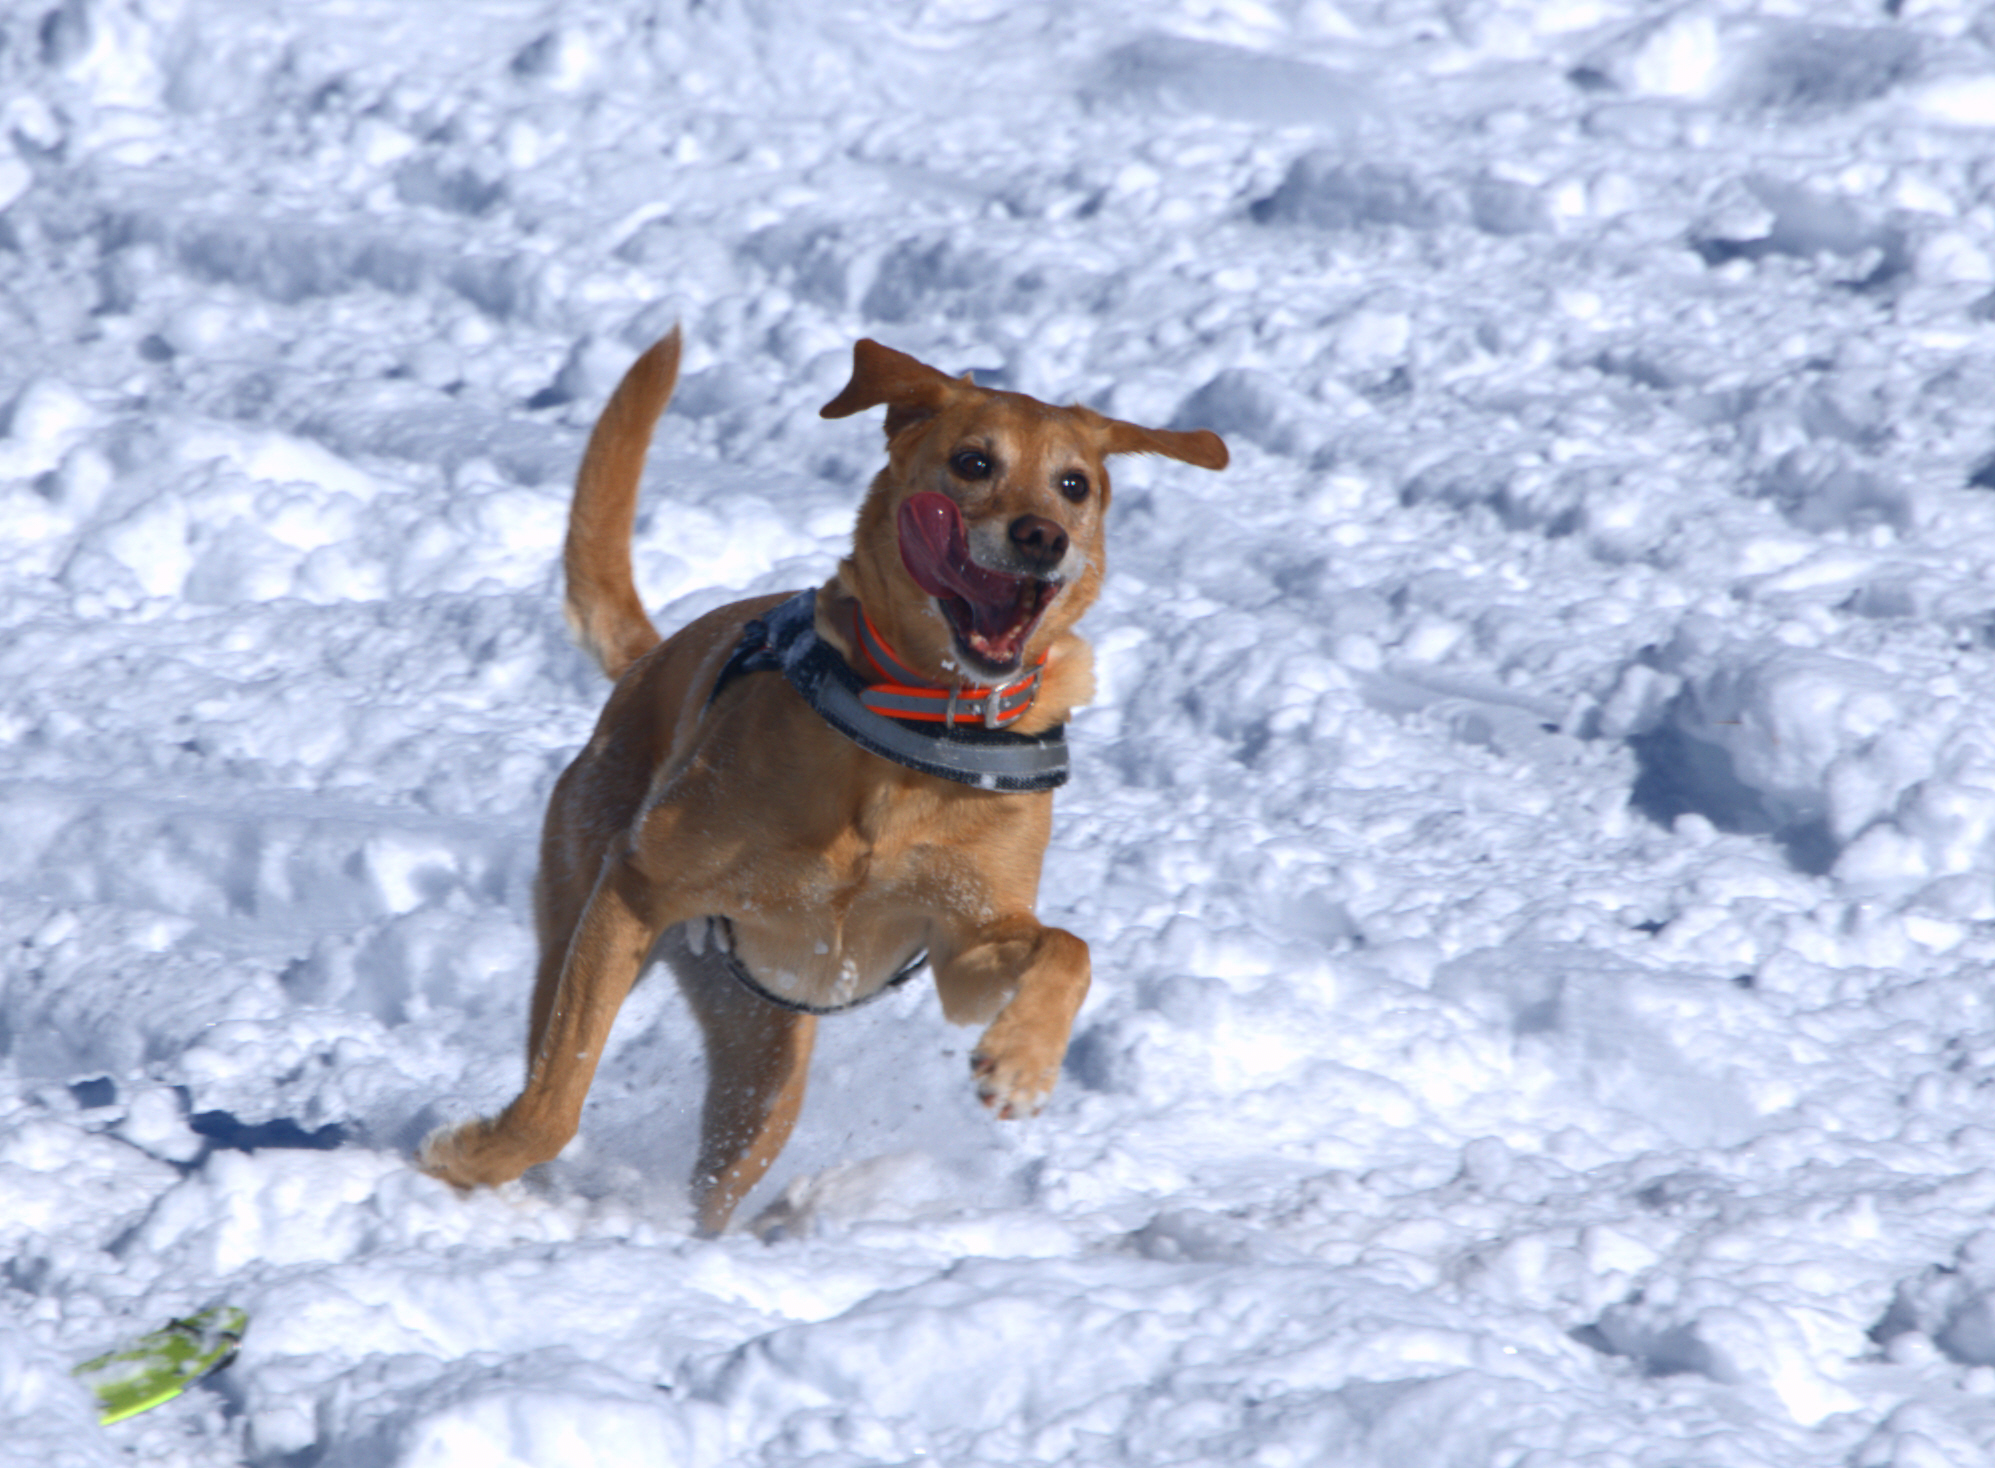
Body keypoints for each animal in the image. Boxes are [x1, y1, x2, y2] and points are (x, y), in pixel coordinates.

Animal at [418, 329, 1220, 1228]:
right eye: (973, 462)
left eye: (1073, 483)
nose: (1041, 535)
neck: (912, 729)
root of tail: (649, 662)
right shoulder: (633, 890)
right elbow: (557, 1099)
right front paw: (468, 1159)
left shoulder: (963, 944)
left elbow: (1067, 948)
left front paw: (1020, 1063)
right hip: (586, 921)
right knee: (548, 1059)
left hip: (762, 1058)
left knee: (723, 1173)